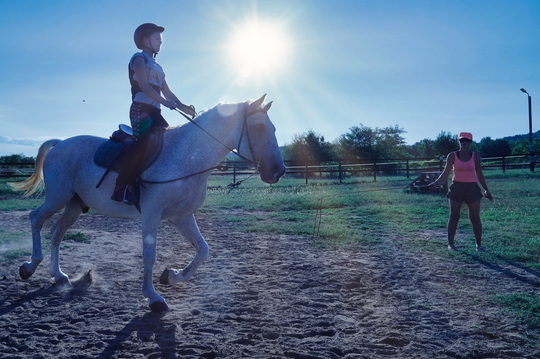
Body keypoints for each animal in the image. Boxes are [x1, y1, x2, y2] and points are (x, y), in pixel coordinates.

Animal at [10, 95, 284, 312]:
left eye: (273, 127)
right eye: (259, 127)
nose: (278, 171)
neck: (185, 157)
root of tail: (61, 143)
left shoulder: (181, 216)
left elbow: (203, 250)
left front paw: (171, 276)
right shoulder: (152, 213)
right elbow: (149, 254)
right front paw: (153, 298)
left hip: (74, 205)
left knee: (57, 233)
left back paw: (58, 275)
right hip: (58, 197)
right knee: (36, 219)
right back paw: (29, 267)